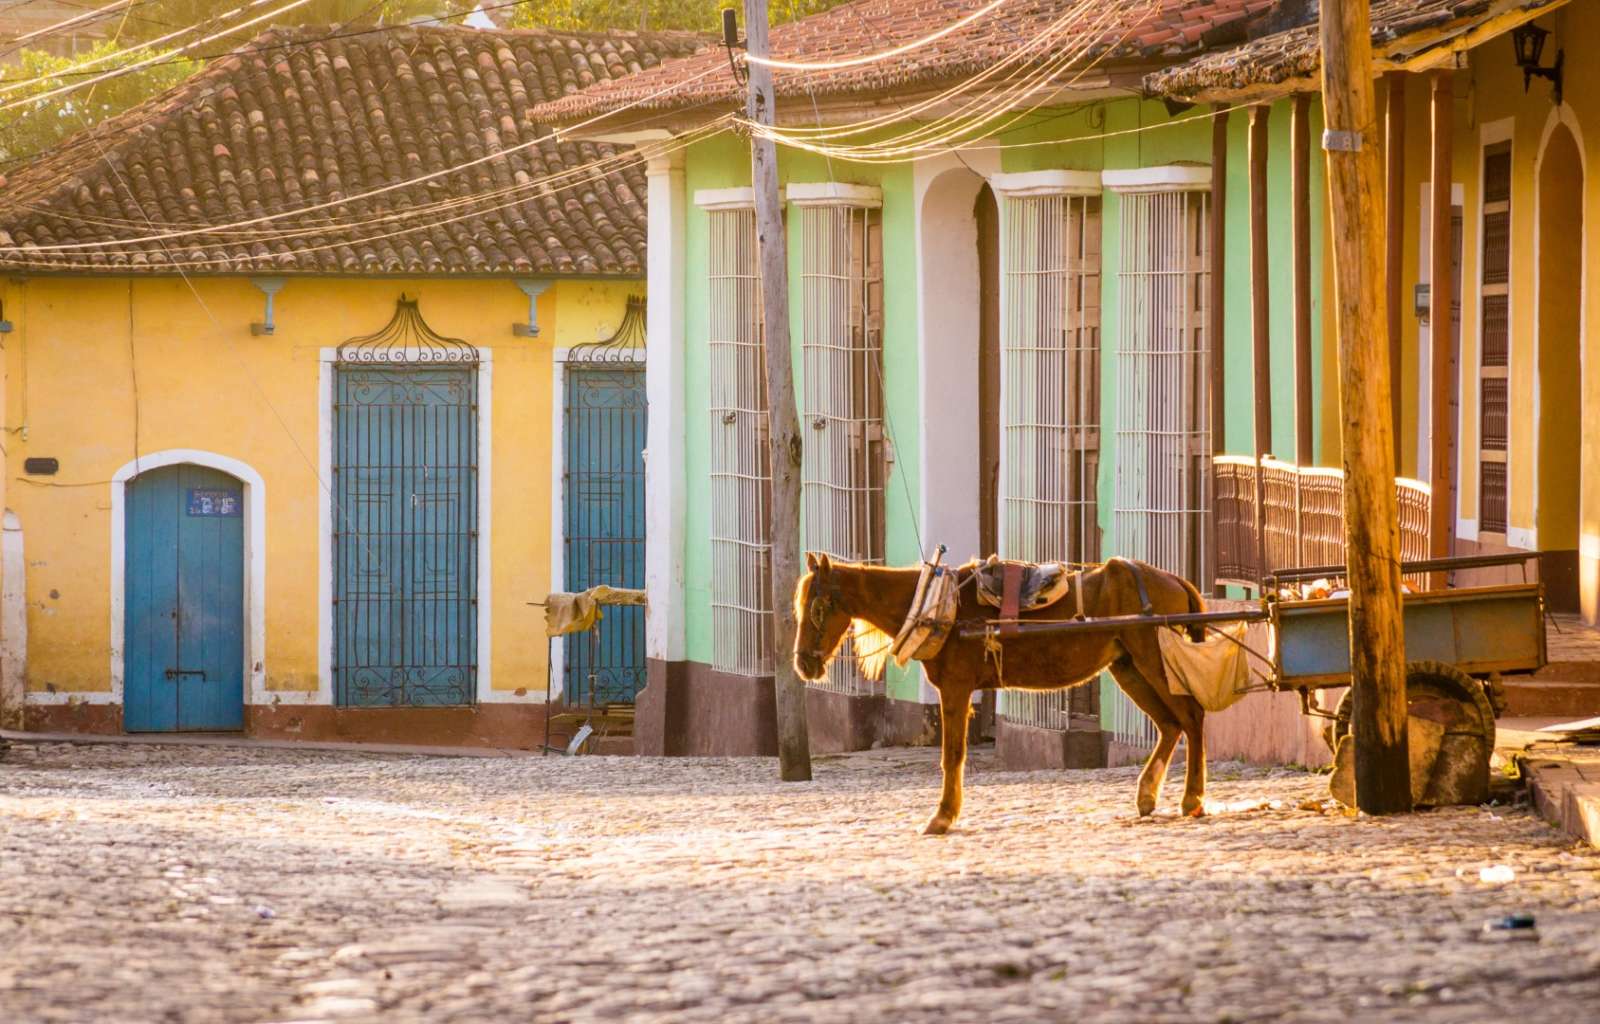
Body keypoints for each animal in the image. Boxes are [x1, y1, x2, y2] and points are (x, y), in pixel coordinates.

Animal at [793, 556, 1203, 838]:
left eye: (817, 608)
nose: (803, 664)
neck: (936, 607)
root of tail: (1174, 579)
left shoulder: (955, 688)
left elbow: (952, 755)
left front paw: (942, 816)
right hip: (1129, 667)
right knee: (1170, 725)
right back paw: (1148, 796)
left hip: (1153, 660)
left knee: (1192, 716)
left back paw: (1192, 799)